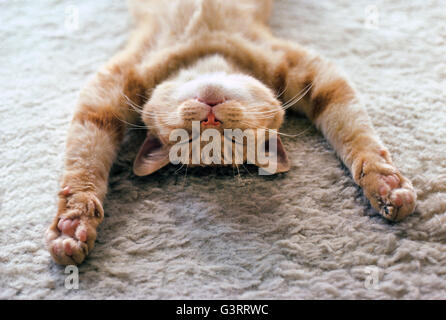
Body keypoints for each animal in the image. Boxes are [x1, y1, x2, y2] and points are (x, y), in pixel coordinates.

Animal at [45, 0, 414, 264]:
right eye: (189, 137)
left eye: (234, 137)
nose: (211, 120)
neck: (207, 52)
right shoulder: (108, 90)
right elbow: (84, 165)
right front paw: (73, 223)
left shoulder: (314, 73)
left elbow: (354, 132)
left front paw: (383, 182)